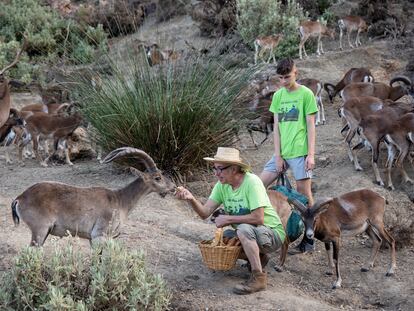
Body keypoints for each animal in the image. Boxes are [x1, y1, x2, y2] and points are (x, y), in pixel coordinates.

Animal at [10, 147, 176, 247]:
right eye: (158, 177)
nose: (173, 188)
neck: (120, 200)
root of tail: (19, 198)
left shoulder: (94, 239)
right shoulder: (99, 236)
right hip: (40, 230)